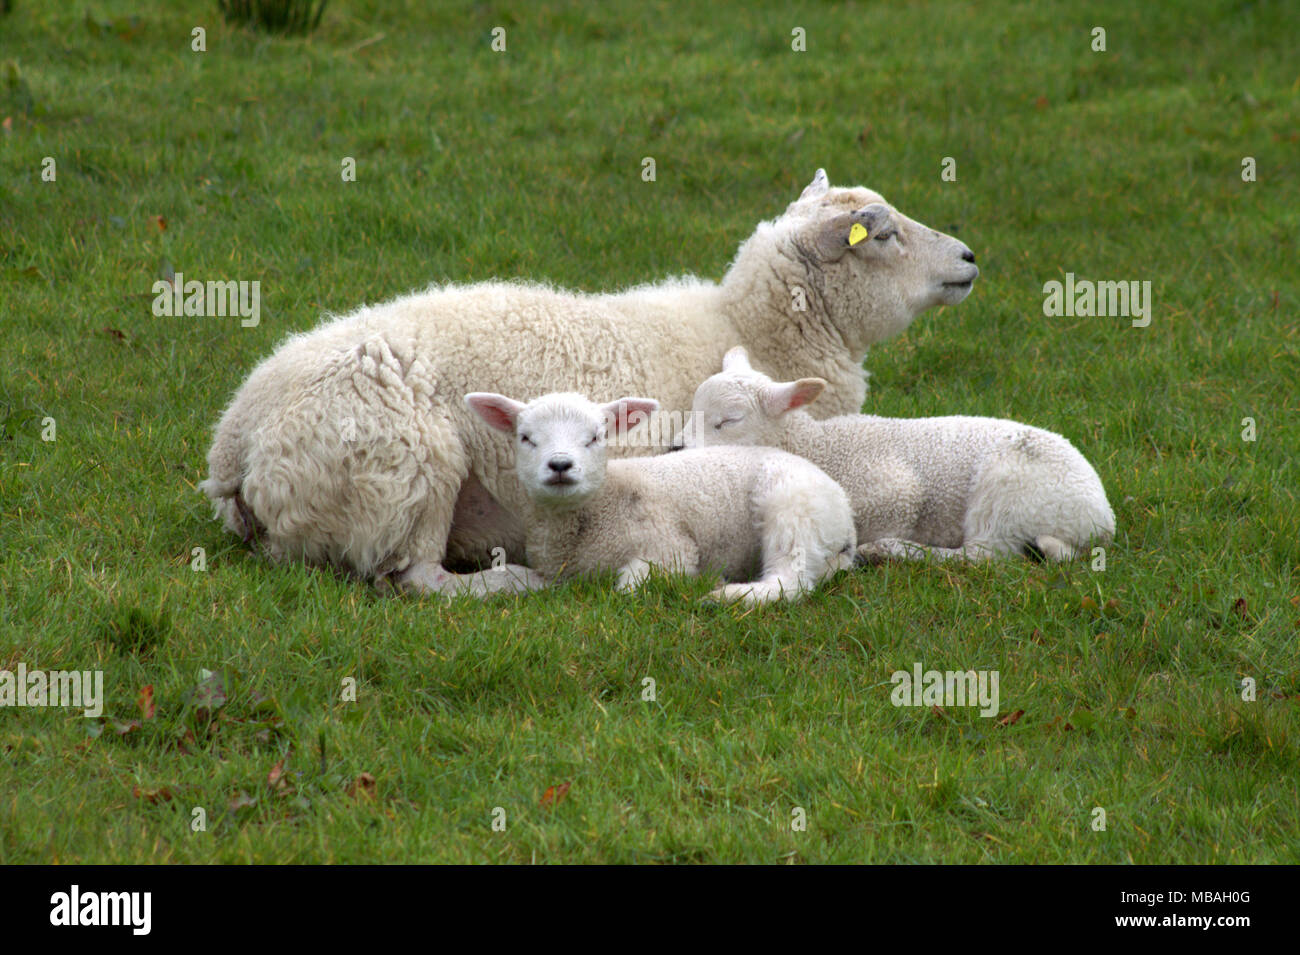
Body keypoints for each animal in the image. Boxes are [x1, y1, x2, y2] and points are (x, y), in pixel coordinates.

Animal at [463, 390, 857, 604]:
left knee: (791, 580)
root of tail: (846, 516)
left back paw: (725, 595)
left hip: (792, 508)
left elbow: (629, 587)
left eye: (595, 437)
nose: (560, 465)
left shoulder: (667, 545)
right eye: (526, 438)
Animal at [680, 347, 1116, 562]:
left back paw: (893, 552)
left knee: (983, 557)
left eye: (727, 421)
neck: (818, 446)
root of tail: (1100, 519)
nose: (676, 448)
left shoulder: (898, 492)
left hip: (1008, 493)